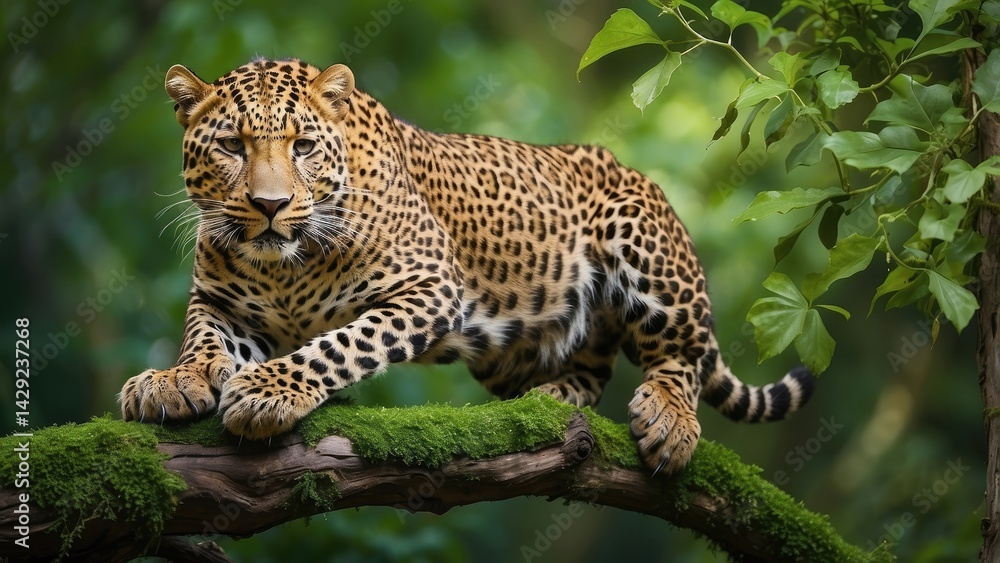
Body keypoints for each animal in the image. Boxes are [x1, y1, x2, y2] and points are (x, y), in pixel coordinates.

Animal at [119, 57, 814, 475]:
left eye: (304, 146)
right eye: (232, 146)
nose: (269, 206)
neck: (282, 269)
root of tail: (638, 175)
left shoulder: (429, 287)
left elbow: (339, 344)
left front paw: (268, 391)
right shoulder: (220, 301)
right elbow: (202, 337)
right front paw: (173, 380)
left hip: (641, 240)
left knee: (679, 355)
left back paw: (669, 421)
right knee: (593, 366)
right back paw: (551, 400)